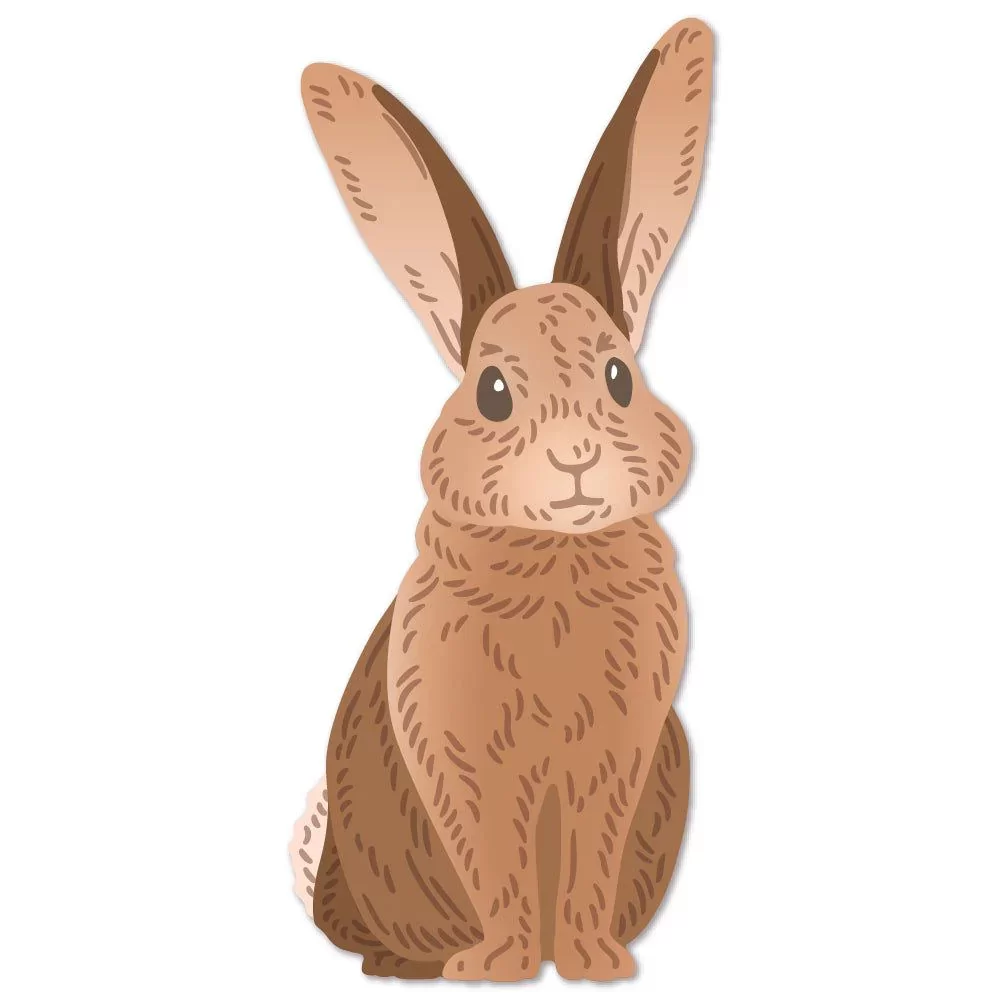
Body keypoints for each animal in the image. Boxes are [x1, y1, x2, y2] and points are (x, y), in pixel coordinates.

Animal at [289, 18, 713, 982]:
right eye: (490, 393)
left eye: (618, 378)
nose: (576, 458)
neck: (555, 562)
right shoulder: (463, 760)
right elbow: (497, 864)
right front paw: (502, 967)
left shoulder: (616, 761)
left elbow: (589, 861)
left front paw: (594, 964)